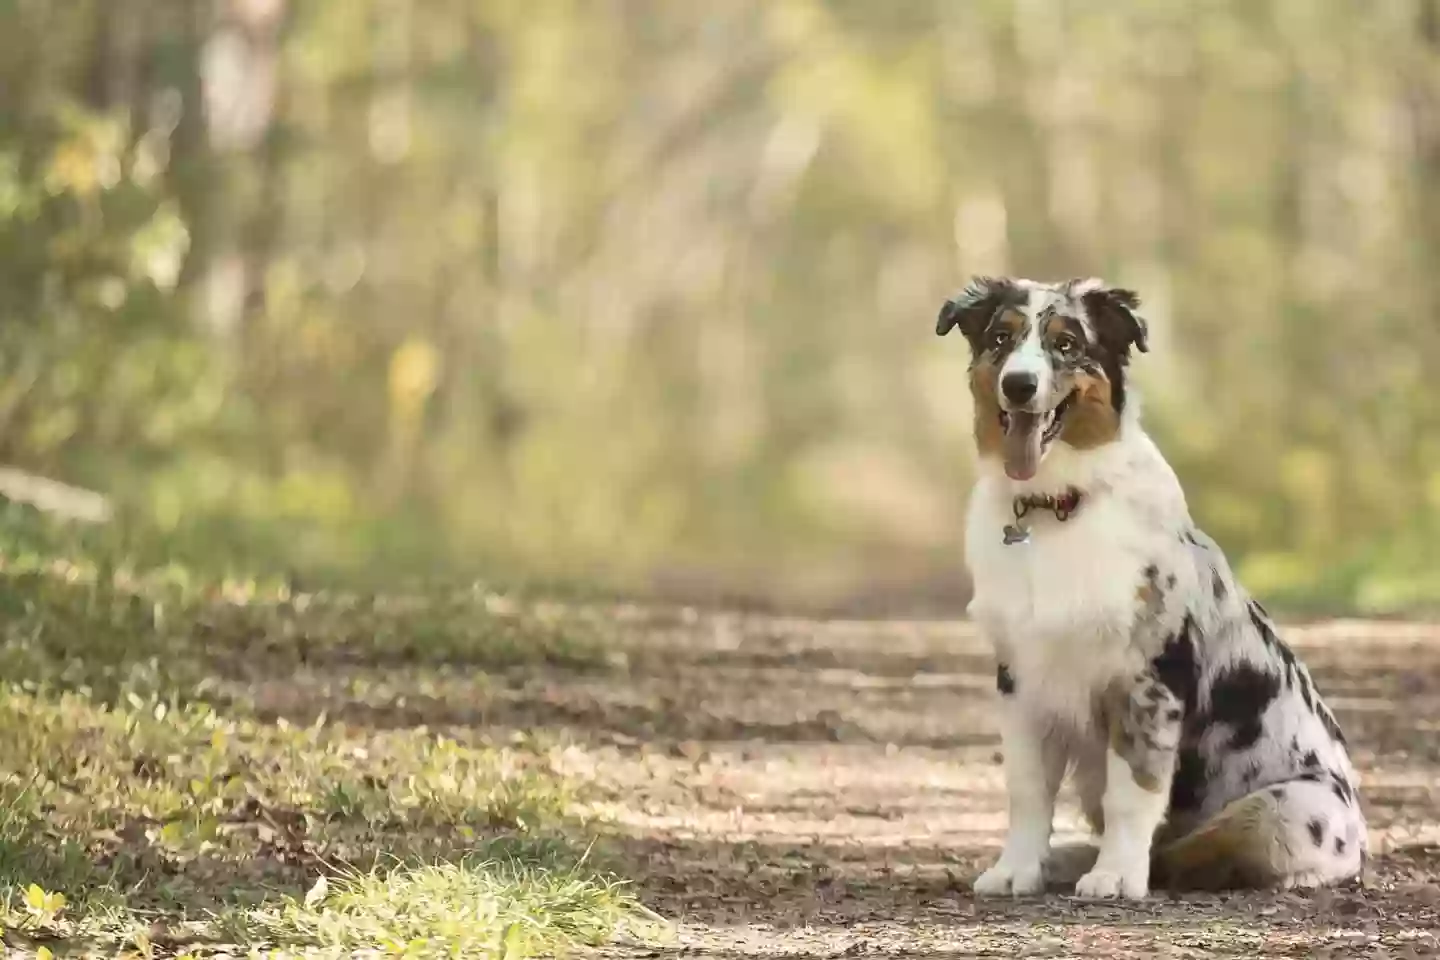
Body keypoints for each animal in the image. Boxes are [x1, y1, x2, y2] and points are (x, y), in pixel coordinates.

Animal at [938, 276, 1365, 903]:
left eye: (1067, 344)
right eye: (1000, 338)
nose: (1019, 386)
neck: (1055, 504)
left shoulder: (1147, 681)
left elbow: (1132, 790)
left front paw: (1116, 875)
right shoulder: (1020, 677)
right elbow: (1028, 789)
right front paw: (1016, 870)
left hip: (1291, 809)